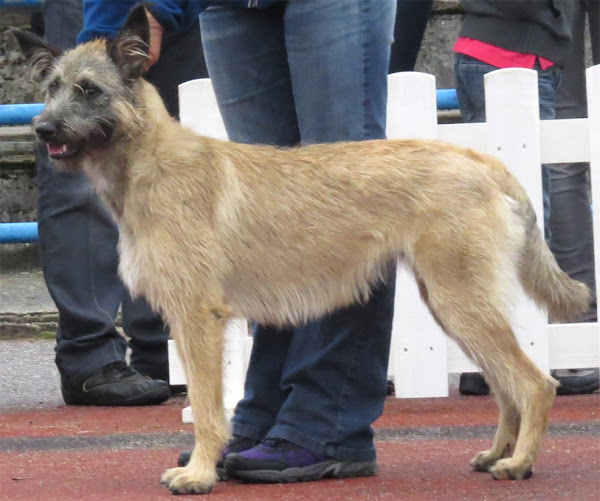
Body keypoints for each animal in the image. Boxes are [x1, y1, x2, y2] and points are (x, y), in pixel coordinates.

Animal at [10, 5, 592, 494]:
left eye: (89, 89)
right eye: (52, 87)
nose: (40, 128)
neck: (148, 162)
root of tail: (483, 161)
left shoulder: (198, 319)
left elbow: (205, 406)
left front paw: (199, 473)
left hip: (462, 303)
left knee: (534, 384)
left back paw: (519, 462)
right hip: (454, 306)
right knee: (505, 386)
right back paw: (497, 453)